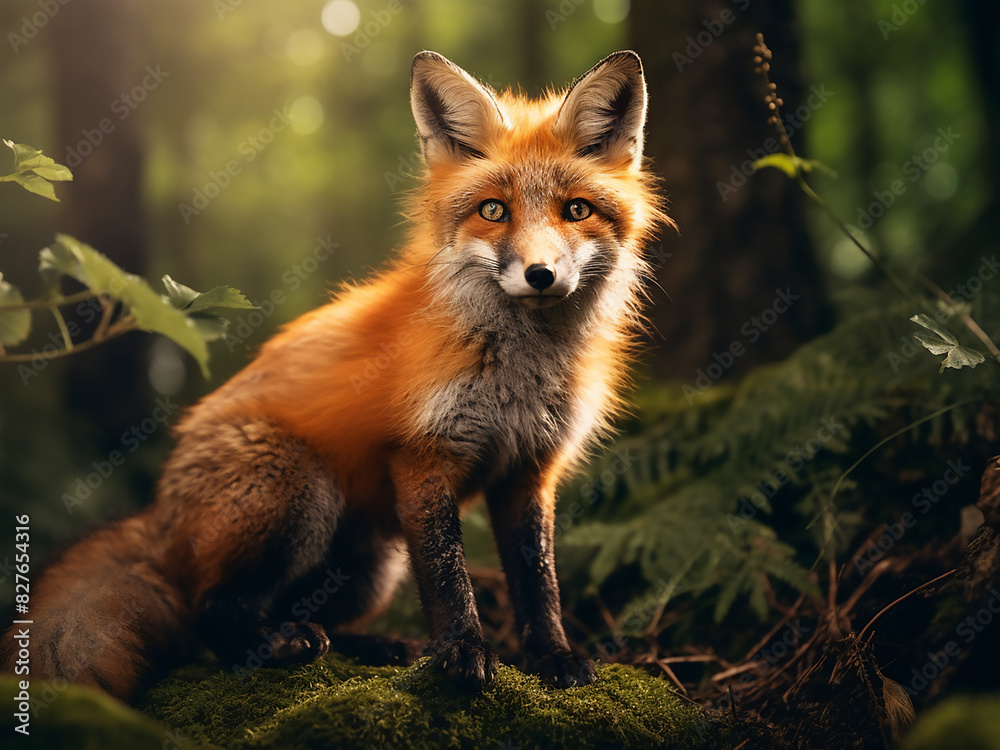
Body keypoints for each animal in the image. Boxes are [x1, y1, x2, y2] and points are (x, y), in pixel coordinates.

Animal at [3, 50, 668, 701]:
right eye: (493, 211)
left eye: (576, 210)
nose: (540, 275)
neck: (520, 371)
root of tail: (158, 512)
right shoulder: (424, 456)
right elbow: (448, 577)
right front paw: (462, 653)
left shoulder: (530, 470)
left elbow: (538, 582)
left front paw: (552, 657)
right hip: (298, 487)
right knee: (207, 613)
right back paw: (274, 644)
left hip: (374, 563)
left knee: (311, 614)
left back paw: (376, 646)